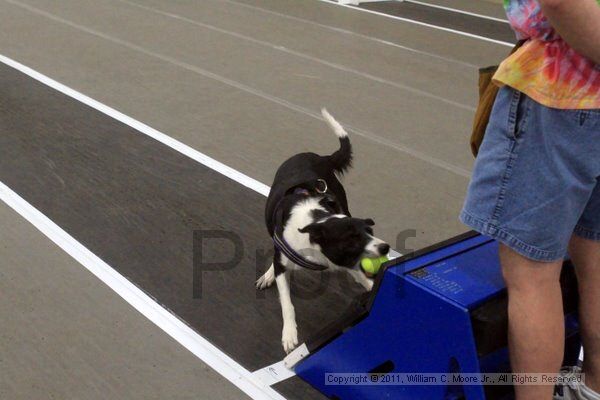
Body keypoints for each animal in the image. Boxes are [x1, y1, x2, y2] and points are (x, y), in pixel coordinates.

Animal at [256, 108, 390, 352]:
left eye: (370, 232)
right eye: (351, 239)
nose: (385, 247)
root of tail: (319, 156)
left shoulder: (346, 261)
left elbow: (360, 275)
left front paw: (373, 285)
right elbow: (287, 303)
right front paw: (289, 334)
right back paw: (269, 273)